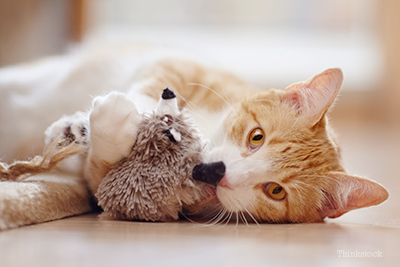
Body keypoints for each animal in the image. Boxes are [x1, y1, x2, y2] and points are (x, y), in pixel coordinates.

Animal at [0, 45, 390, 229]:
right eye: (257, 138)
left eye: (276, 191)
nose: (218, 173)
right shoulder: (183, 64)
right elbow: (156, 82)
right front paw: (149, 117)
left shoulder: (101, 185)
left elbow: (104, 172)